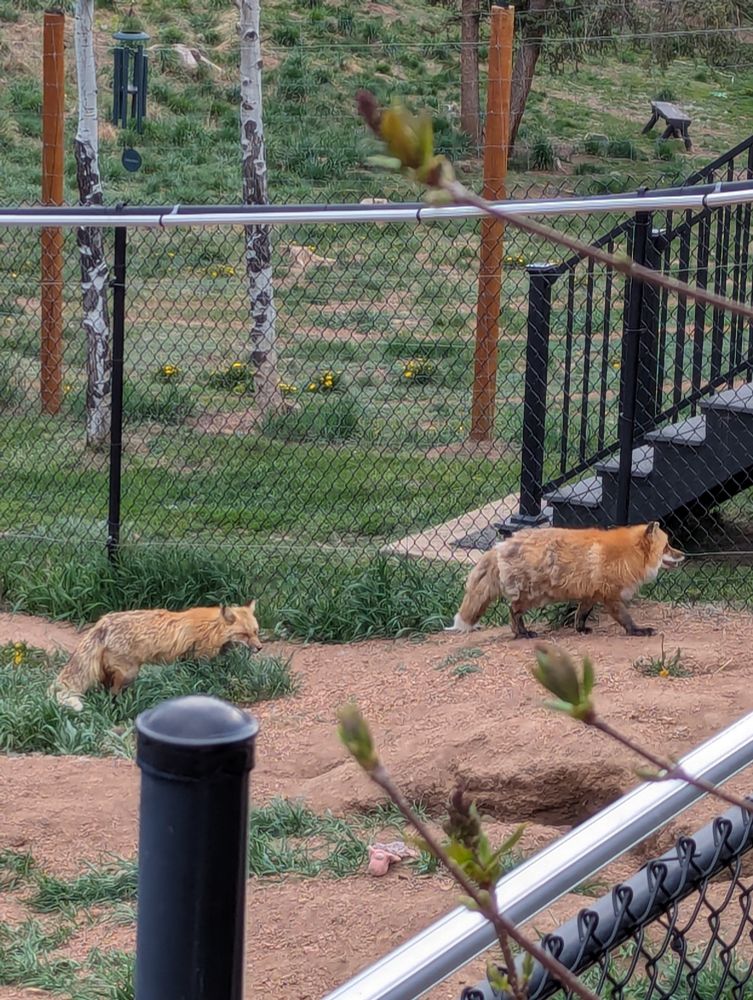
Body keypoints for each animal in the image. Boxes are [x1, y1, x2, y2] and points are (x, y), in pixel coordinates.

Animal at [49, 601, 262, 712]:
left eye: (256, 632)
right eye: (244, 635)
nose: (259, 648)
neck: (213, 628)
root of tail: (103, 622)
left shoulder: (190, 660)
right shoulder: (200, 659)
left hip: (111, 673)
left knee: (105, 690)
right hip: (129, 672)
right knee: (113, 693)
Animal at [447, 522, 684, 640]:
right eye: (667, 547)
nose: (684, 555)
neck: (627, 555)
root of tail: (500, 545)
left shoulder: (591, 594)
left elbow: (581, 614)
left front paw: (580, 629)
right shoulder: (610, 596)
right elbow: (626, 619)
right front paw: (638, 631)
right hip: (532, 598)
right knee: (512, 611)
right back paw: (522, 634)